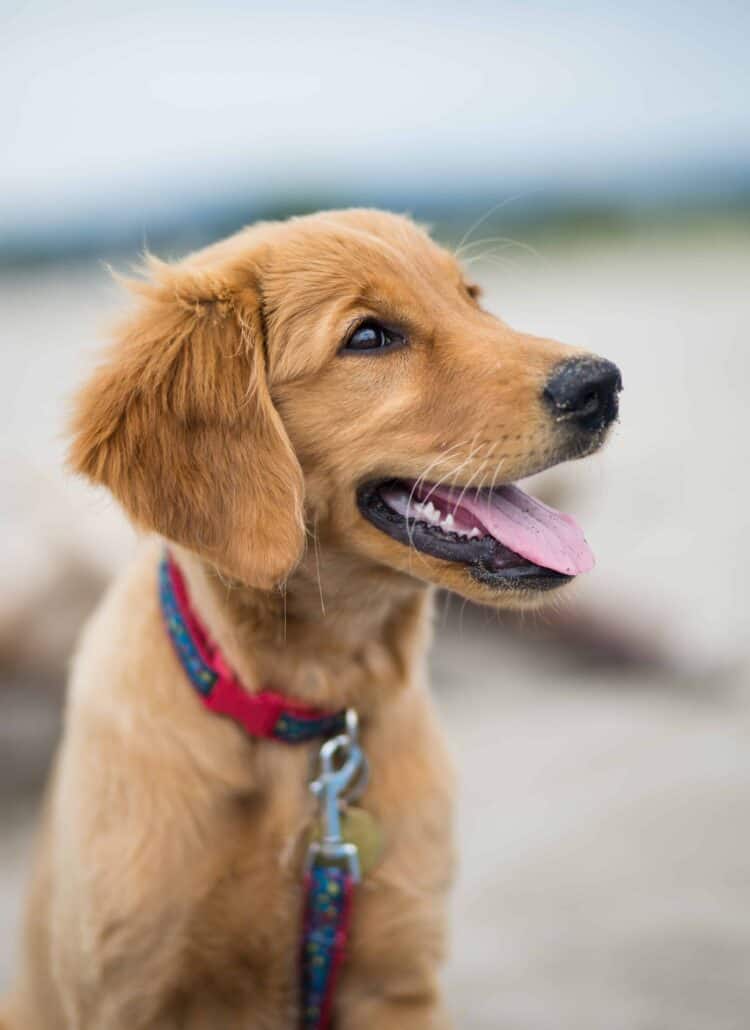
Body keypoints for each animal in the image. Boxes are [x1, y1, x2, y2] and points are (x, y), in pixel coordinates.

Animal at [1, 211, 622, 1030]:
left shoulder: (397, 981)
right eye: (369, 337)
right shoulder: (127, 991)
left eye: (471, 298)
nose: (602, 384)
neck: (305, 711)